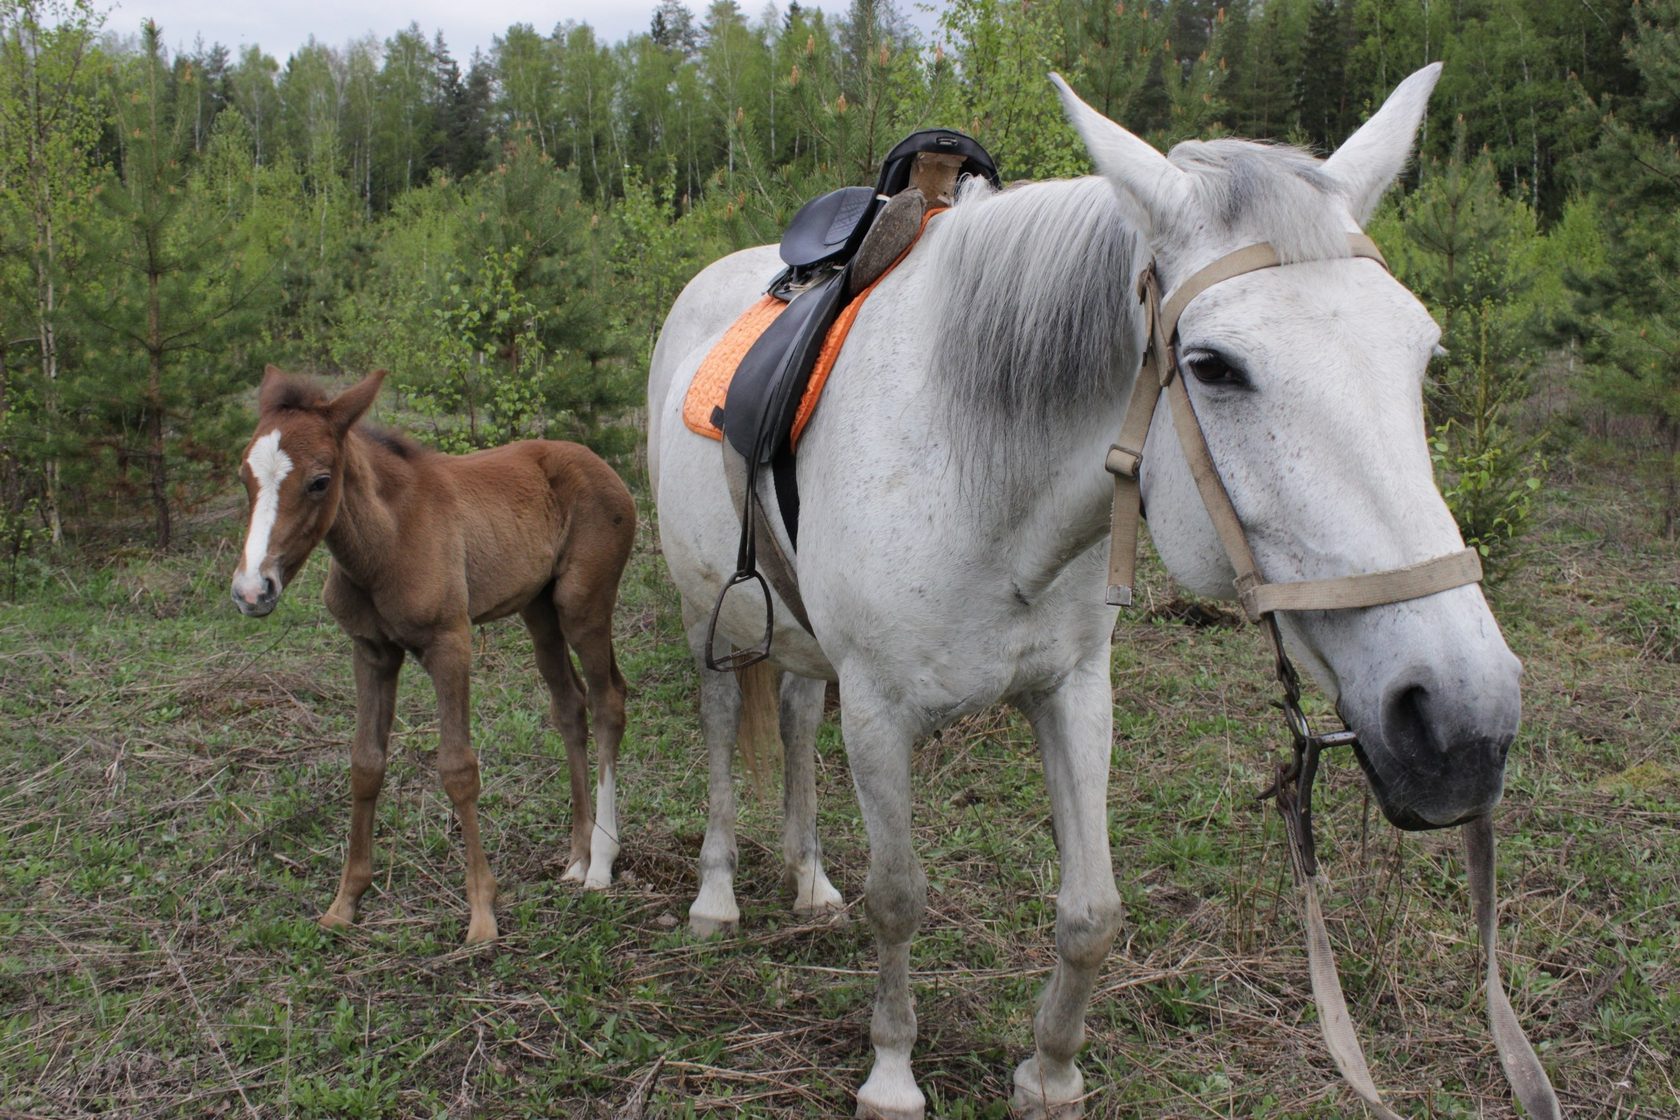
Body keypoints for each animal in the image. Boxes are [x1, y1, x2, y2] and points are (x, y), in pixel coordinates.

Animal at [230, 367, 635, 947]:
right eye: (244, 477)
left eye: (320, 481)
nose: (252, 591)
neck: (386, 541)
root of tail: (606, 468)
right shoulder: (371, 652)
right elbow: (365, 764)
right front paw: (345, 902)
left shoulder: (450, 643)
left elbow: (458, 769)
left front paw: (483, 913)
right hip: (539, 609)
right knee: (569, 706)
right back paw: (577, 857)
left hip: (584, 606)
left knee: (608, 702)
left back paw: (601, 862)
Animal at [641, 63, 1525, 1120]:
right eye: (1212, 367)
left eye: (1422, 353)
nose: (1463, 726)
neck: (981, 478)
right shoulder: (881, 711)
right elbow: (899, 899)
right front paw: (892, 1073)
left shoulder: (1072, 691)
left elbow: (1093, 911)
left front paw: (1051, 1072)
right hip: (708, 614)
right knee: (721, 729)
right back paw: (717, 895)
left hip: (808, 646)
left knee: (796, 715)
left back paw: (810, 883)